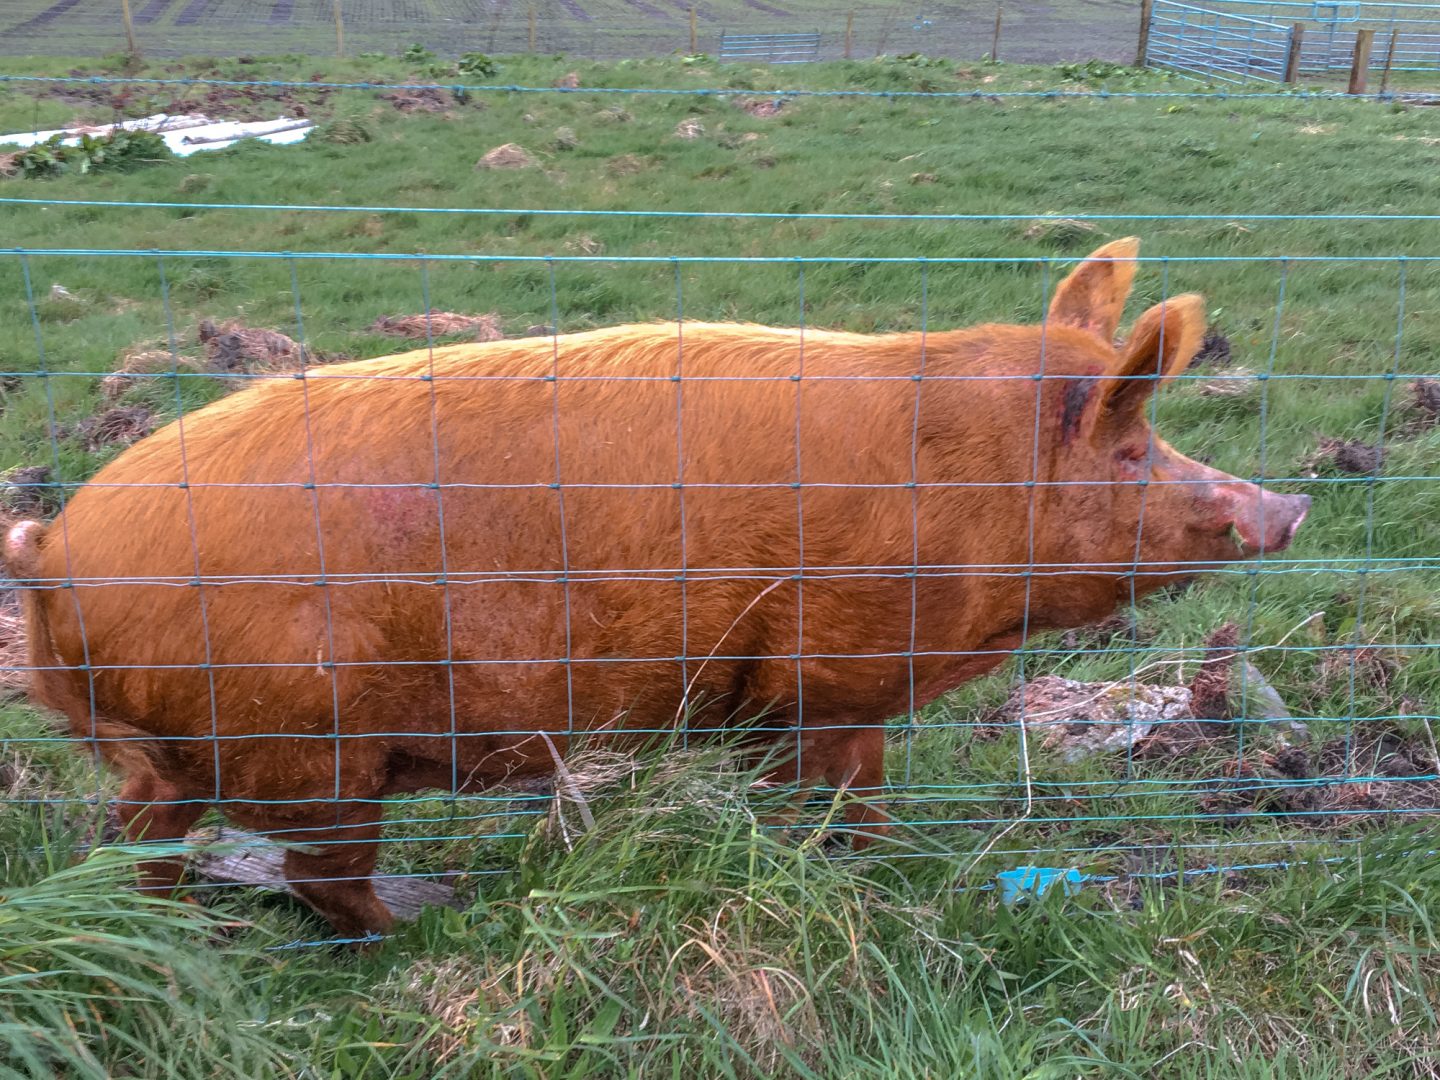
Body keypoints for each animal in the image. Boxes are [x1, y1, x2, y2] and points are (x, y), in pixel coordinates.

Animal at [5, 239, 1307, 938]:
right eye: (1134, 450)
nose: (1288, 506)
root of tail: (57, 554)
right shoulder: (832, 670)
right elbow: (847, 790)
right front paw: (885, 874)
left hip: (178, 756)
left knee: (136, 847)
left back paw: (173, 927)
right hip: (312, 747)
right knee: (316, 877)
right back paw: (424, 920)